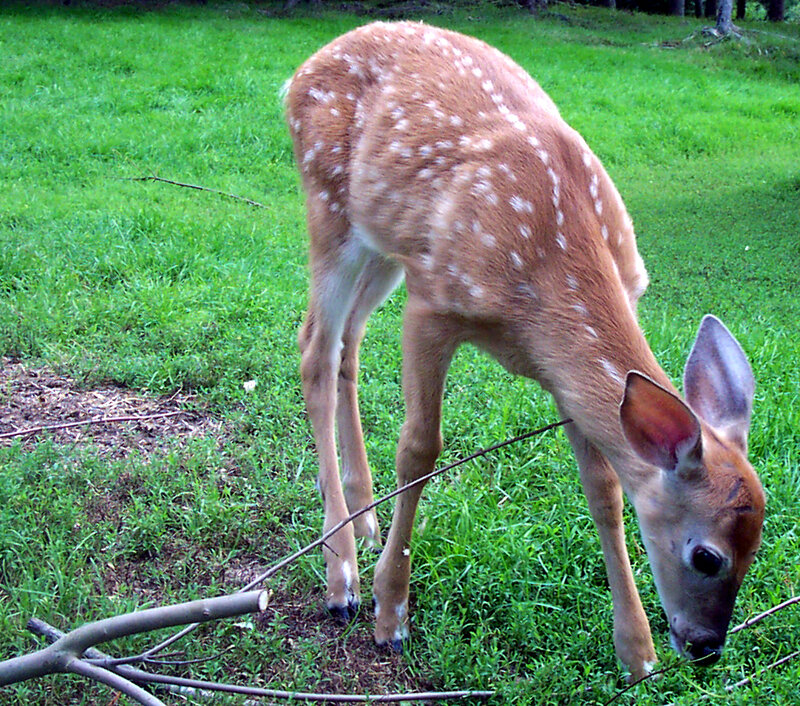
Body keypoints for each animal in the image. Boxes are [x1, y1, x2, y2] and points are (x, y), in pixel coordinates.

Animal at [283, 21, 765, 681]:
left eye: (758, 546)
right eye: (708, 556)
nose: (705, 648)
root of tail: (299, 73)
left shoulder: (563, 375)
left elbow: (604, 488)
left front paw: (636, 654)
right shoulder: (434, 302)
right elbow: (420, 449)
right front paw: (392, 616)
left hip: (384, 241)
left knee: (347, 342)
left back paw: (367, 520)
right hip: (328, 204)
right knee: (314, 347)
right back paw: (343, 578)